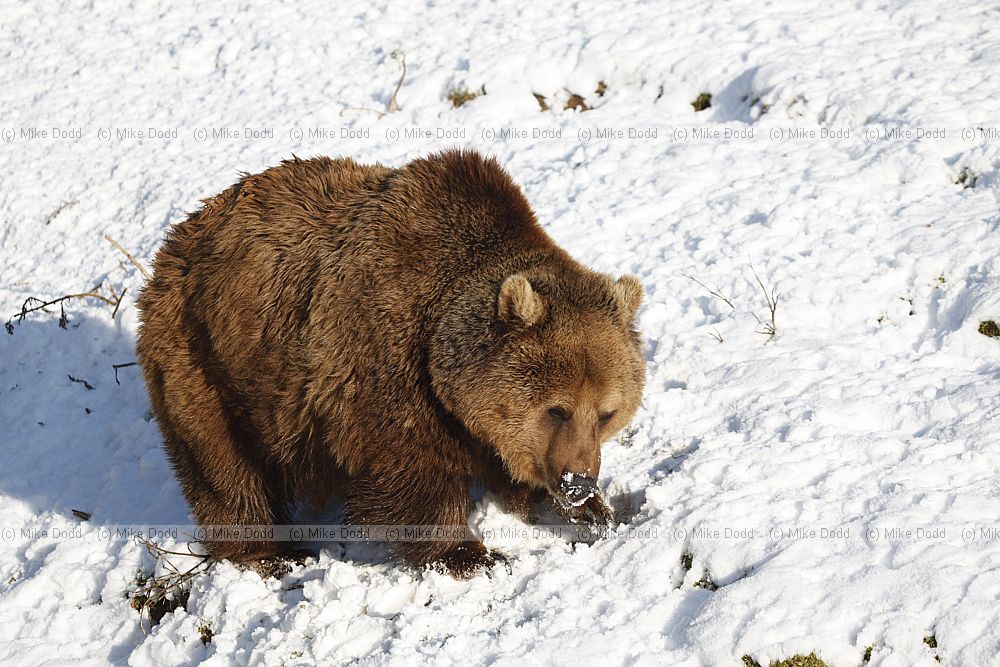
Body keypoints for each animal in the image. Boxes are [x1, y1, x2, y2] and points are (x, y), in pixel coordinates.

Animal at [135, 149, 645, 577]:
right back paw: (271, 553)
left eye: (607, 413)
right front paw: (472, 554)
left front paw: (595, 512)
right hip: (208, 361)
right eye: (557, 409)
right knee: (226, 467)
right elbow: (412, 472)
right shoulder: (383, 355)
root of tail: (178, 238)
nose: (578, 481)